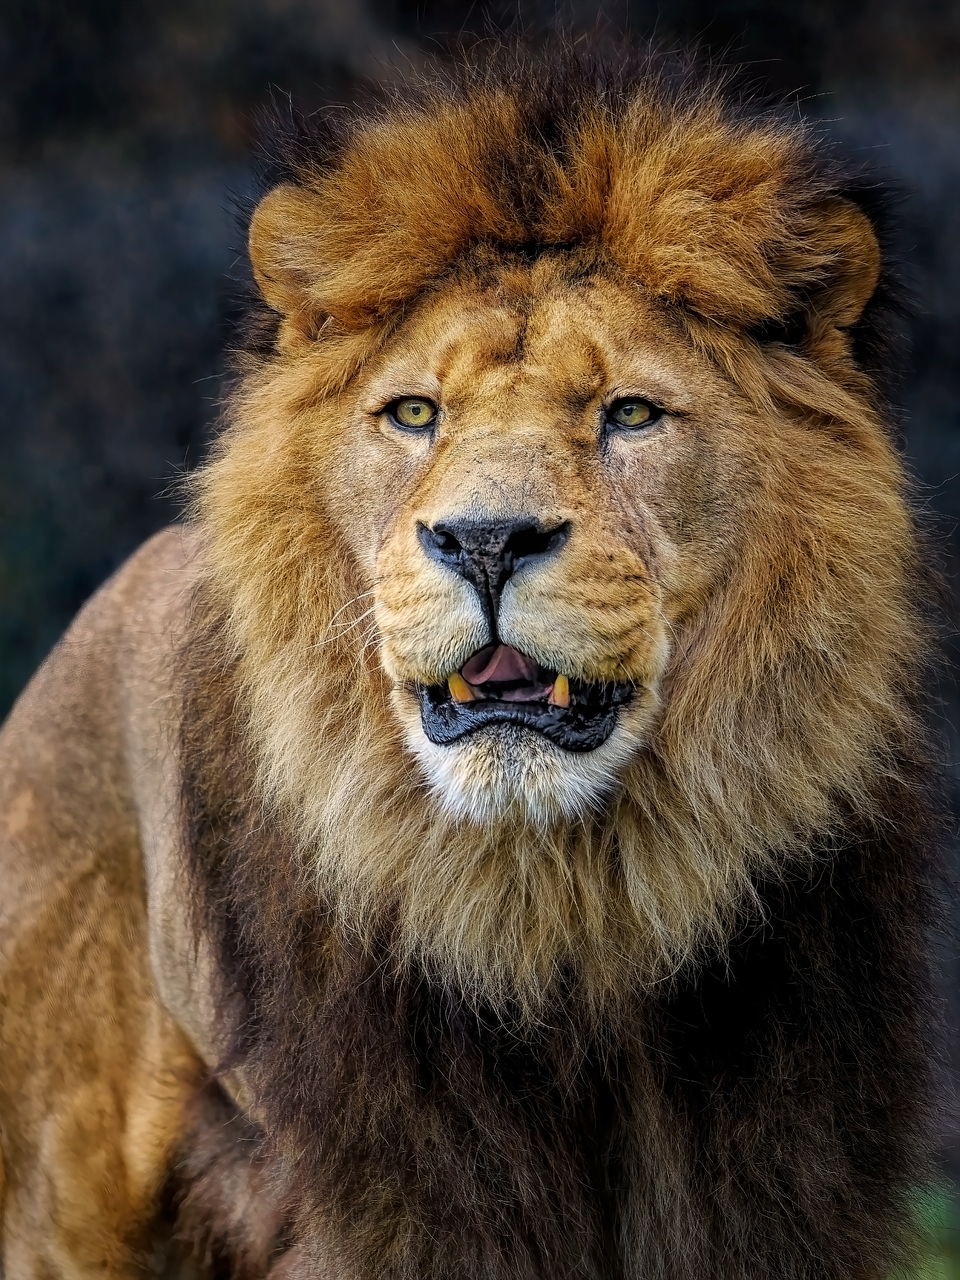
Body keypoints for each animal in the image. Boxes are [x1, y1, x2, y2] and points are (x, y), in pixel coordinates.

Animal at [0, 46, 941, 1279]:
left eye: (630, 413)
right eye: (414, 414)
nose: (487, 540)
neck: (566, 907)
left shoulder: (770, 1186)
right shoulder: (394, 1199)